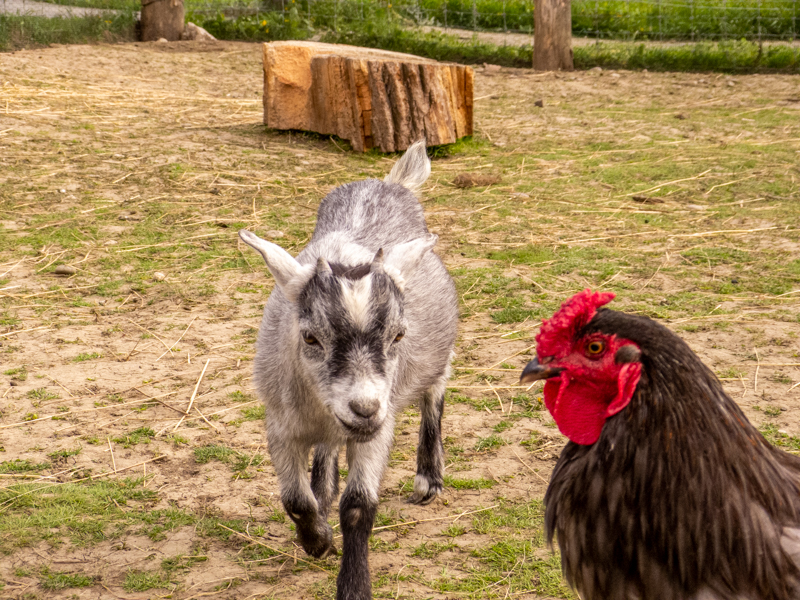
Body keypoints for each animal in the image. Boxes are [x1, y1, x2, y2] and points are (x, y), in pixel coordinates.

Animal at [238, 141, 458, 600]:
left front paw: (353, 585)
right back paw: (324, 489)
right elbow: (295, 501)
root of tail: (389, 183)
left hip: (438, 353)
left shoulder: (379, 427)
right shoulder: (279, 425)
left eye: (398, 335)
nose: (364, 408)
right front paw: (317, 539)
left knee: (434, 393)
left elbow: (358, 507)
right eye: (309, 338)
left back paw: (428, 478)